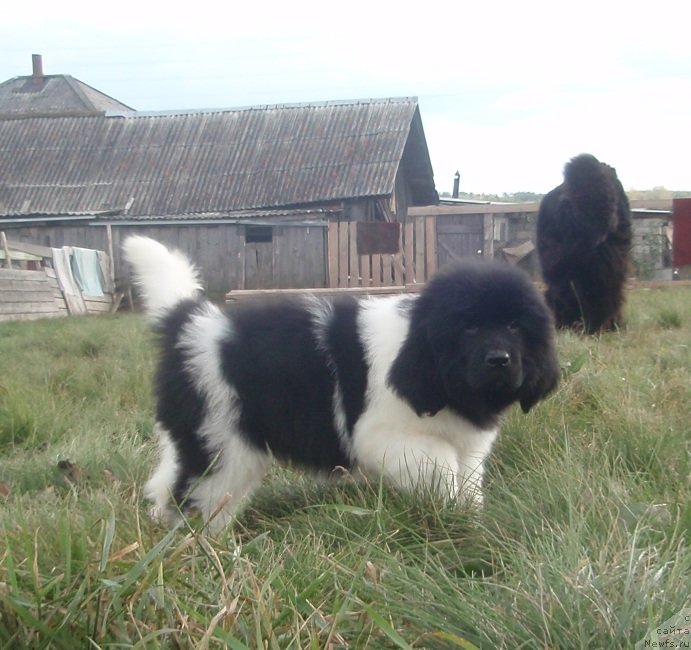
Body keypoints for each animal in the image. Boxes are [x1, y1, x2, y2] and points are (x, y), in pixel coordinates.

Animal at [124, 235, 560, 528]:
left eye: (515, 327)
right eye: (469, 328)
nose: (500, 360)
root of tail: (190, 321)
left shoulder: (470, 447)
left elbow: (468, 479)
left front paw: (469, 518)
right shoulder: (380, 434)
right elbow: (440, 465)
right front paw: (449, 510)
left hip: (199, 436)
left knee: (170, 483)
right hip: (221, 440)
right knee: (196, 494)